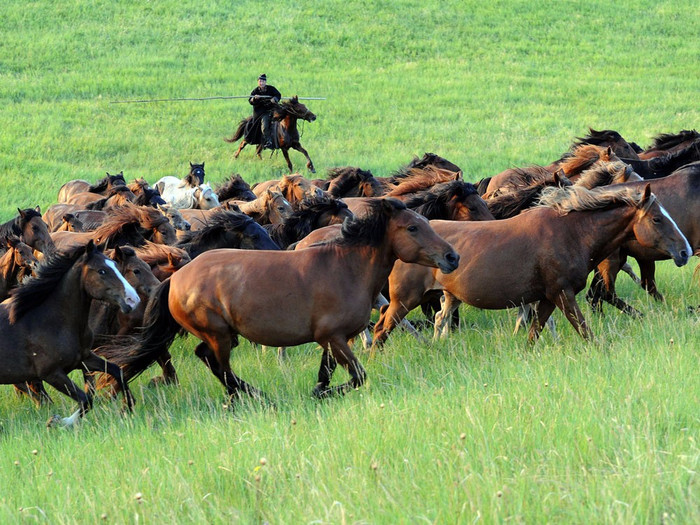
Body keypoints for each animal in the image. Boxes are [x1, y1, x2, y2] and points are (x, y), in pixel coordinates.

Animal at [0, 242, 139, 426]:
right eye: (101, 271)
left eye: (116, 265)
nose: (133, 300)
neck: (53, 322)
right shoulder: (52, 374)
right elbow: (86, 399)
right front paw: (59, 421)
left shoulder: (84, 359)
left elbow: (117, 371)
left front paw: (128, 407)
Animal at [100, 199, 460, 400]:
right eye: (413, 228)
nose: (452, 257)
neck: (346, 267)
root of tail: (176, 278)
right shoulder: (335, 337)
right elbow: (358, 376)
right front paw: (320, 394)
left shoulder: (329, 339)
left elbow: (326, 374)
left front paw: (318, 393)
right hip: (219, 334)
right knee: (218, 365)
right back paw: (256, 397)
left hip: (223, 334)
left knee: (208, 359)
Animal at [374, 183, 692, 344]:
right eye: (657, 219)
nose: (685, 251)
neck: (571, 233)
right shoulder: (563, 294)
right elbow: (585, 331)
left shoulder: (547, 298)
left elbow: (533, 332)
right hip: (404, 301)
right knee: (380, 330)